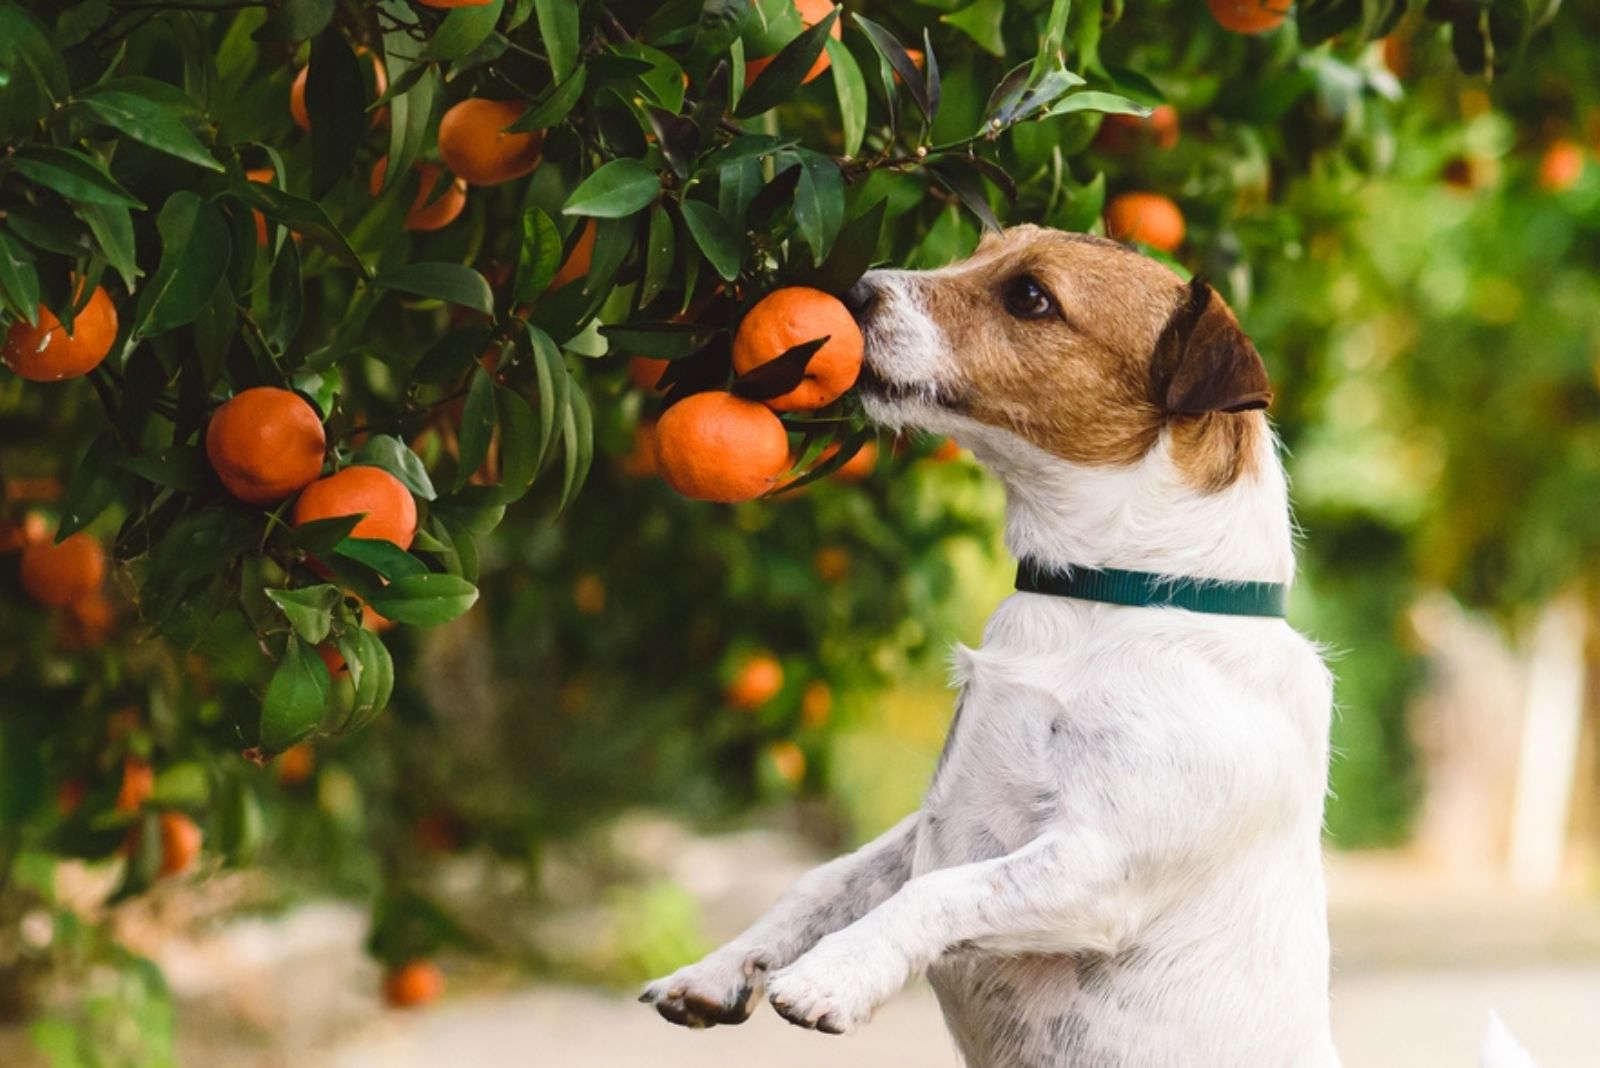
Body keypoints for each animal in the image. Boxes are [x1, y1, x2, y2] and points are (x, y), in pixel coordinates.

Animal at [636, 220, 1337, 1061]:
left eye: (1030, 296)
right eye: (978, 246)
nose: (853, 289)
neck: (1111, 595)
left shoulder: (1097, 867)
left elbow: (937, 891)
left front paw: (834, 976)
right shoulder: (925, 827)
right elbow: (823, 881)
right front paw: (714, 970)